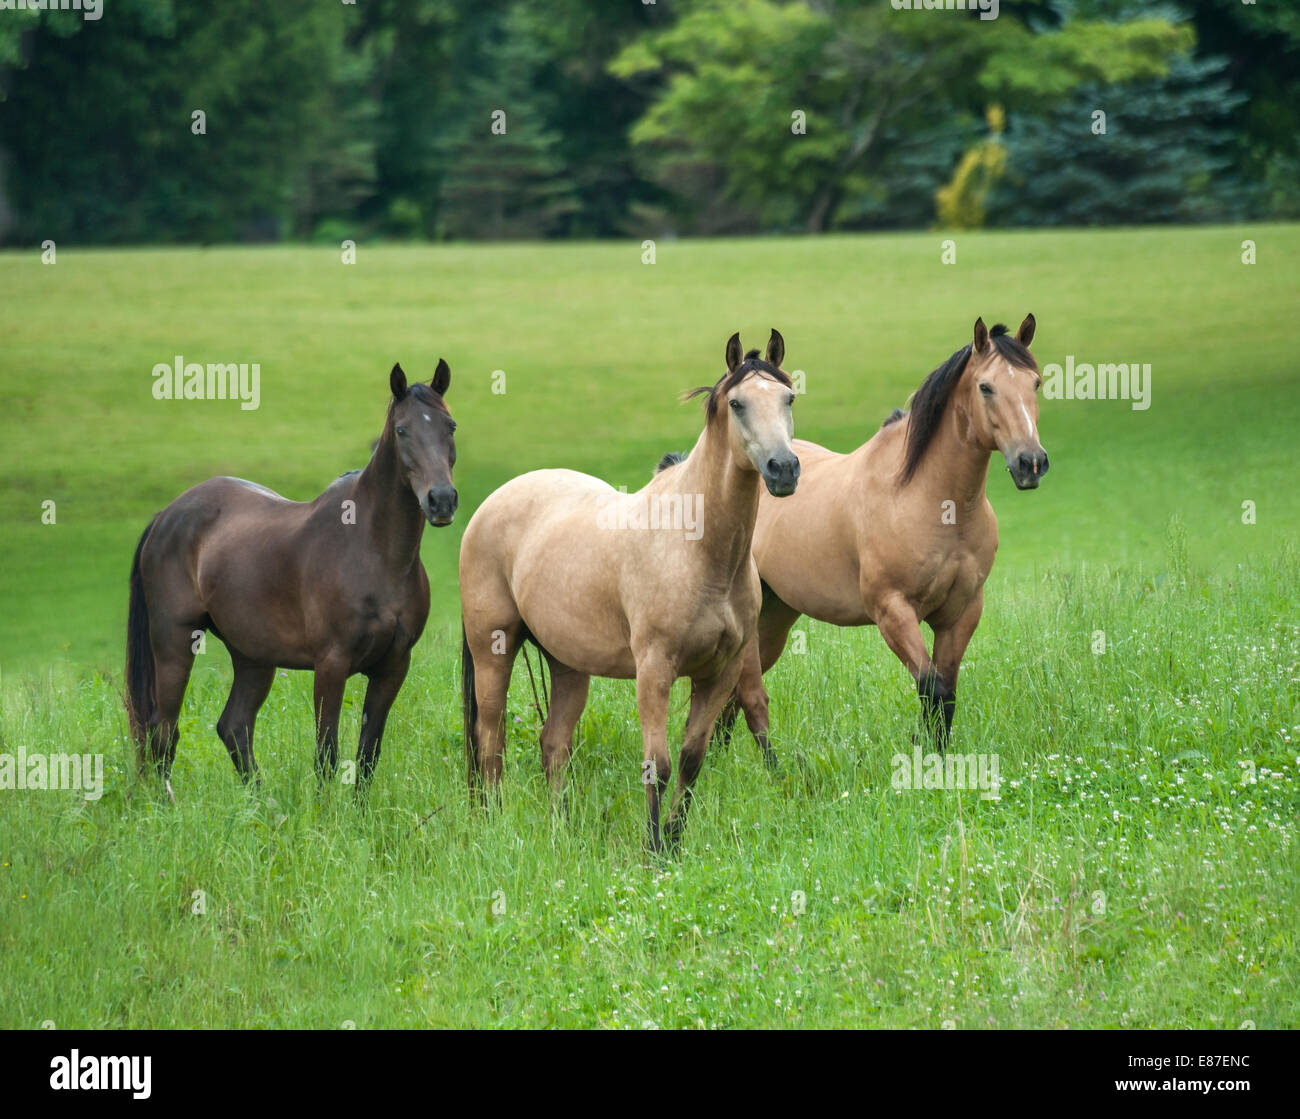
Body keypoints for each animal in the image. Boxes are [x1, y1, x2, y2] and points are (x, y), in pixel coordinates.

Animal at [124, 361, 458, 796]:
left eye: (450, 426)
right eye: (402, 430)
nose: (442, 500)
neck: (373, 550)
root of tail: (166, 515)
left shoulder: (394, 666)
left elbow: (368, 754)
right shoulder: (331, 664)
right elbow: (327, 755)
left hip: (252, 656)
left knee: (234, 727)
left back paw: (261, 804)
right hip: (174, 642)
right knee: (163, 732)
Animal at [459, 331, 800, 853]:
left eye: (788, 398)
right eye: (737, 403)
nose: (784, 469)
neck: (698, 548)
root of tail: (488, 507)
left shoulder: (720, 673)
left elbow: (692, 760)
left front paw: (674, 843)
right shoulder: (654, 670)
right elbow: (657, 767)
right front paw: (654, 850)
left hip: (568, 664)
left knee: (553, 745)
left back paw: (561, 830)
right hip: (491, 650)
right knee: (490, 741)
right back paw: (496, 827)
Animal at [689, 315, 1048, 765]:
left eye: (1036, 383)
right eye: (986, 387)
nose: (1030, 462)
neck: (930, 500)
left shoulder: (962, 612)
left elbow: (946, 692)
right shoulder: (892, 610)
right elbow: (932, 688)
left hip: (773, 618)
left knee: (732, 695)